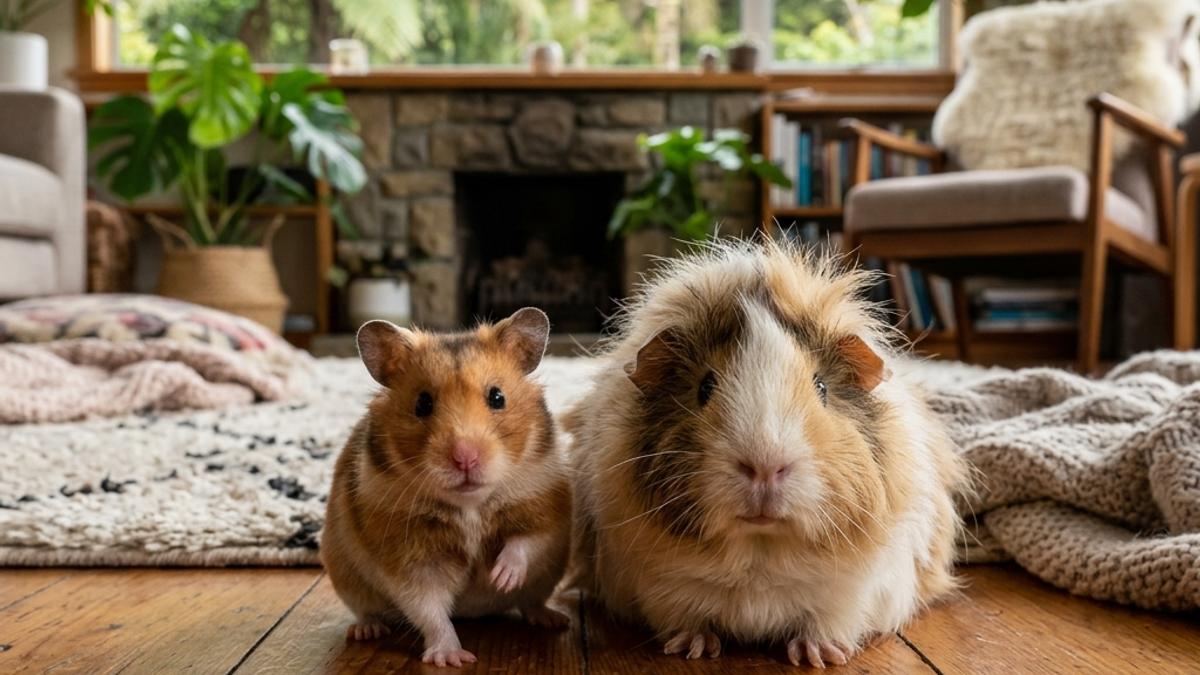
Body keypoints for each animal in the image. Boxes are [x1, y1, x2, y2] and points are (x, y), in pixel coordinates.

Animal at [322, 307, 572, 668]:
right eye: (422, 403)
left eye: (497, 397)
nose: (465, 458)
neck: (469, 505)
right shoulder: (411, 558)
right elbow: (429, 609)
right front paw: (452, 658)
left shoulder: (545, 509)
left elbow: (526, 543)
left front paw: (501, 578)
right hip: (347, 576)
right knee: (368, 611)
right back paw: (367, 630)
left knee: (532, 602)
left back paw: (554, 619)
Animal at [566, 241, 967, 668]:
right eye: (705, 387)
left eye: (821, 387)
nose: (764, 466)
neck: (760, 555)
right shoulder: (660, 588)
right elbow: (683, 617)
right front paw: (692, 648)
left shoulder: (853, 595)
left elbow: (828, 623)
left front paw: (819, 656)